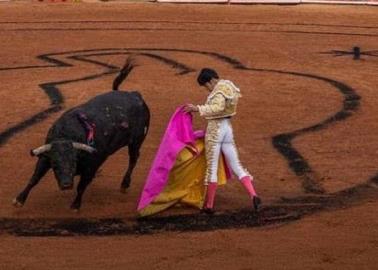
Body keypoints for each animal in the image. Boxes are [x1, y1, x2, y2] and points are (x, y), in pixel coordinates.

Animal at [12, 61, 151, 211]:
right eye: (55, 164)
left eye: (74, 161)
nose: (66, 185)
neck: (68, 134)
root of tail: (135, 95)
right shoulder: (46, 156)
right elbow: (34, 178)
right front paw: (19, 199)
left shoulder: (92, 166)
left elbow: (81, 186)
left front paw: (75, 205)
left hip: (136, 141)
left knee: (133, 159)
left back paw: (124, 185)